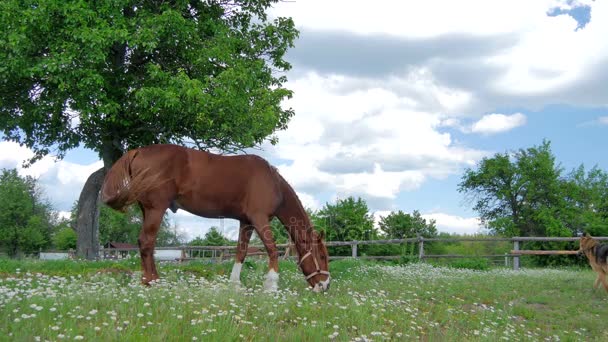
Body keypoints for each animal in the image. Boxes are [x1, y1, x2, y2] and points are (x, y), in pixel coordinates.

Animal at [100, 144, 330, 292]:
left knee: (147, 244)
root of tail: (138, 151)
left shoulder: (246, 222)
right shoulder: (259, 218)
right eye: (323, 256)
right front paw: (271, 286)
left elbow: (241, 252)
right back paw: (152, 282)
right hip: (156, 208)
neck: (272, 181)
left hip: (147, 209)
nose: (325, 286)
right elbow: (272, 249)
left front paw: (235, 285)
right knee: (147, 242)